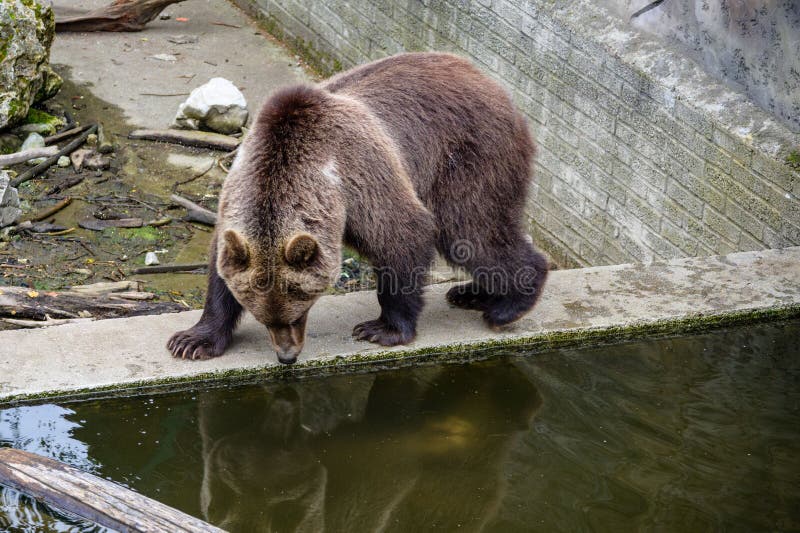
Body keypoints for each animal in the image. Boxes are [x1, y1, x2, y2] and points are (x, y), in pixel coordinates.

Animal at [166, 52, 548, 364]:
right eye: (264, 318)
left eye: (297, 312)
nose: (287, 355)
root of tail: (491, 82)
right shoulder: (238, 195)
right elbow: (220, 269)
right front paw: (192, 341)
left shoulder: (360, 177)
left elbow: (403, 234)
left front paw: (383, 329)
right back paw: (472, 294)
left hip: (470, 156)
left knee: (470, 231)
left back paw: (506, 305)